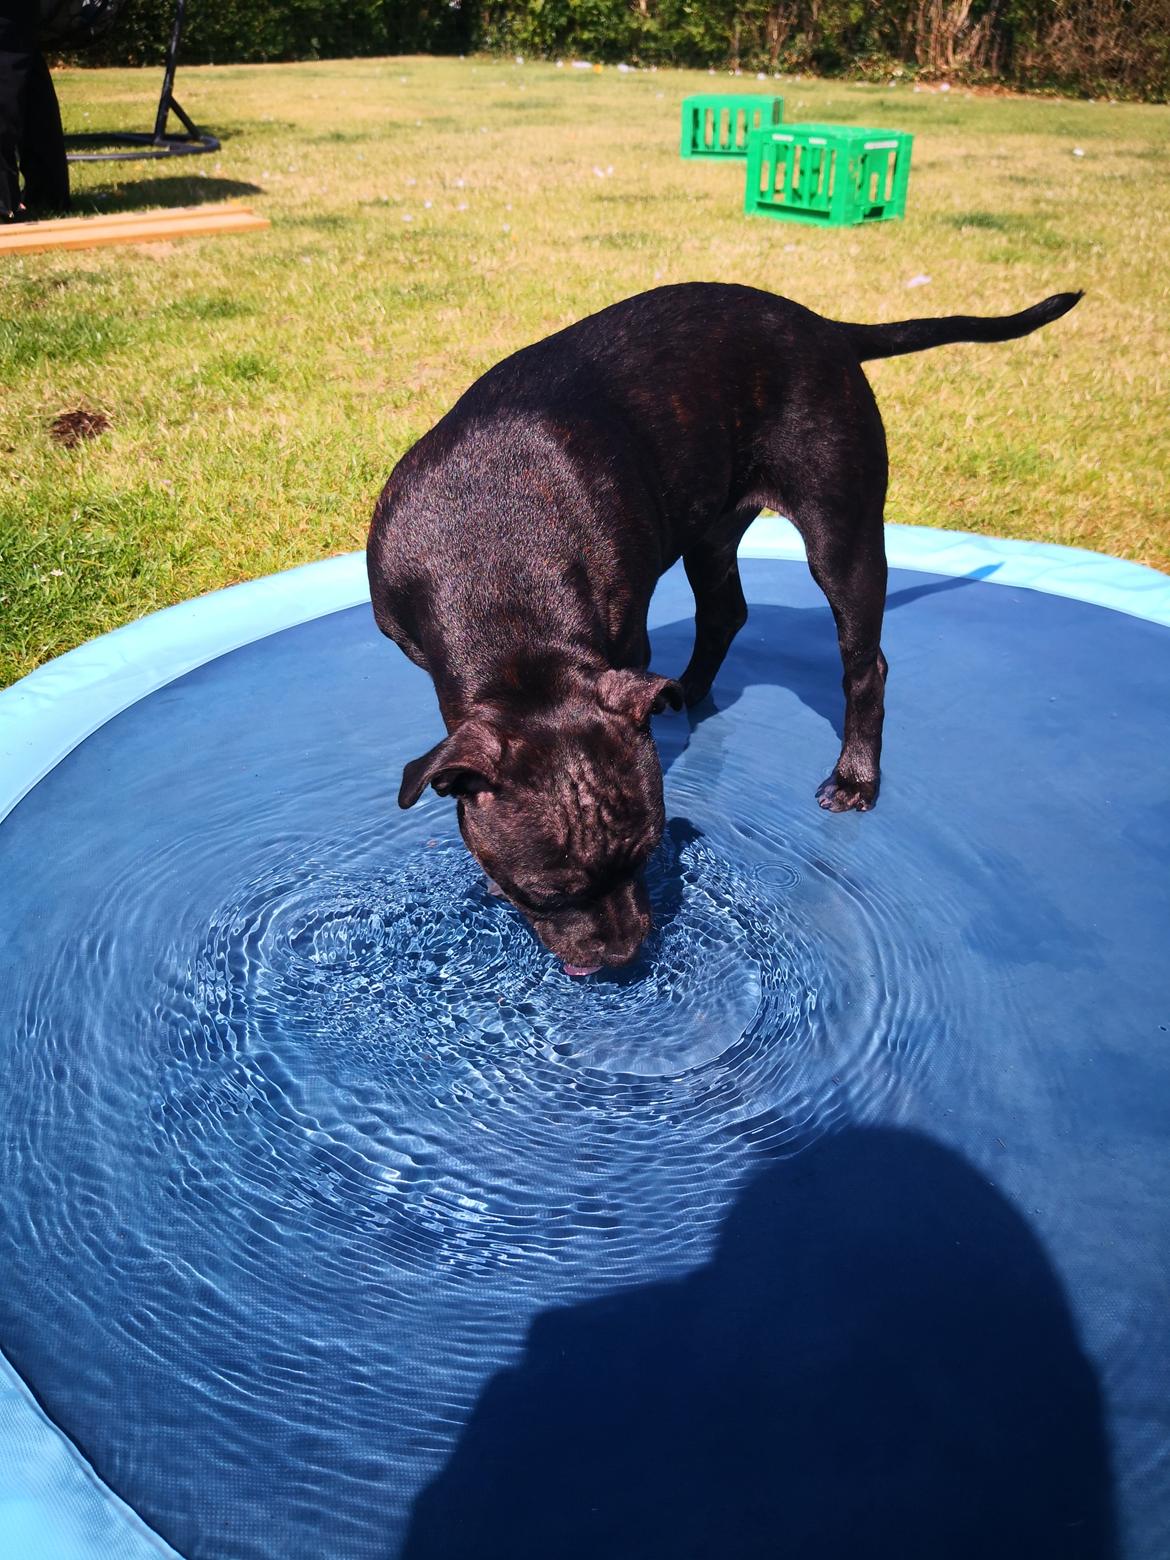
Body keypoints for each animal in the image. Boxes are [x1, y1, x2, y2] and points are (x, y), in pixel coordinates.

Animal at [371, 277, 1085, 973]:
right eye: (545, 893)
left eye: (647, 855)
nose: (625, 955)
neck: (499, 581)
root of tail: (822, 326)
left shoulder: (623, 639)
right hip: (710, 530)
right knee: (726, 612)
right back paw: (687, 689)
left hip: (843, 533)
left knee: (864, 661)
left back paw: (856, 776)